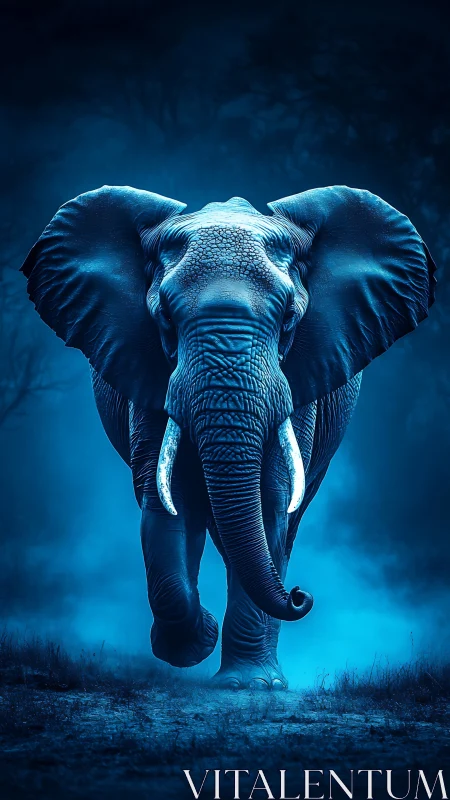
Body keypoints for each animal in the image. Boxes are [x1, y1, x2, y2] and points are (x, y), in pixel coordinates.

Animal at [21, 185, 436, 689]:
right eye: (165, 318)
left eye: (289, 318)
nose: (301, 595)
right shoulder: (148, 373)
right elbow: (166, 499)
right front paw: (197, 640)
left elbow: (271, 501)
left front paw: (250, 687)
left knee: (282, 527)